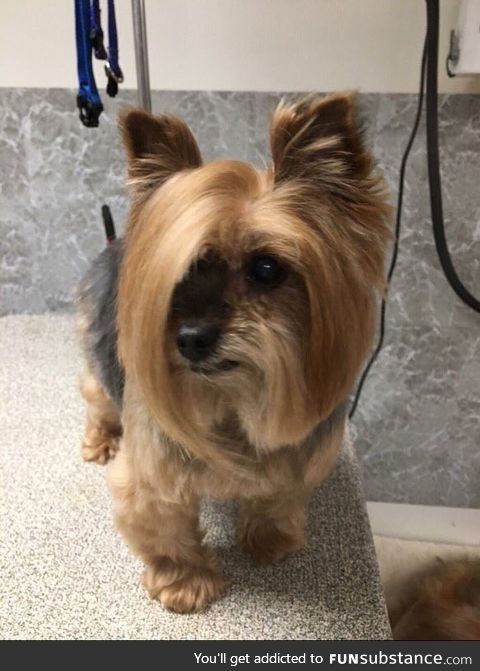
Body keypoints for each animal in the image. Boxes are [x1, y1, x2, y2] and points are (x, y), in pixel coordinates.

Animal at [75, 93, 390, 616]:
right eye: (178, 273)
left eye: (266, 268)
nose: (191, 339)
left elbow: (278, 496)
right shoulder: (152, 474)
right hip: (98, 359)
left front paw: (269, 538)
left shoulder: (297, 455)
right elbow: (165, 529)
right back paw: (100, 440)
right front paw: (186, 583)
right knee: (97, 398)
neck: (232, 398)